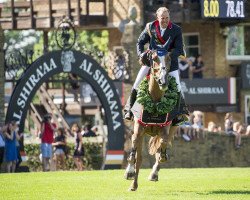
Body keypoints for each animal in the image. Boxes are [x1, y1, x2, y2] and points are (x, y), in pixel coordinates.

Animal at [123, 37, 179, 191]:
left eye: (169, 58)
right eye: (153, 58)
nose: (163, 81)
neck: (154, 101)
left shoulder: (166, 127)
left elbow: (162, 145)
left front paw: (160, 161)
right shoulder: (139, 129)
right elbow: (135, 154)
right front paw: (131, 179)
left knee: (161, 148)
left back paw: (154, 173)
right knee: (137, 154)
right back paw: (131, 176)